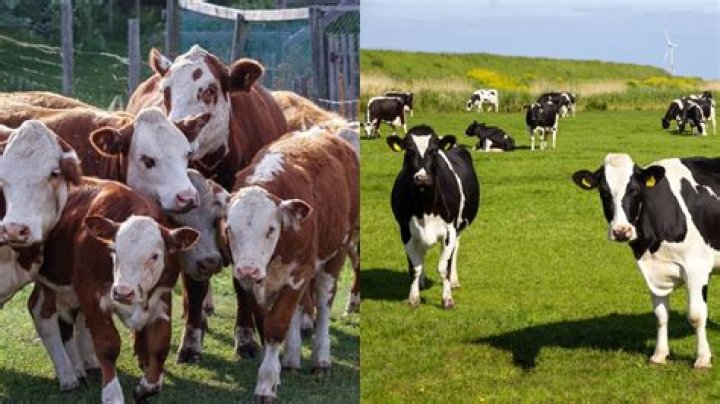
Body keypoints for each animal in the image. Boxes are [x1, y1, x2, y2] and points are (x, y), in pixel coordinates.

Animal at [0, 120, 199, 401]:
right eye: (114, 250)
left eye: (155, 256)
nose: (124, 292)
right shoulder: (92, 295)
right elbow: (107, 345)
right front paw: (112, 393)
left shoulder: (163, 295)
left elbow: (160, 344)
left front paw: (148, 385)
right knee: (46, 314)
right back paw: (71, 373)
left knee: (46, 312)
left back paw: (73, 369)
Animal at [225, 127, 358, 402]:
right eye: (230, 228)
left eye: (271, 229)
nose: (247, 269)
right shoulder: (253, 284)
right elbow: (265, 323)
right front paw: (276, 370)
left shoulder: (299, 273)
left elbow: (276, 326)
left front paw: (266, 383)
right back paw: (291, 358)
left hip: (335, 254)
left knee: (323, 303)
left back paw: (321, 359)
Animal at [386, 125, 480, 308]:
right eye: (409, 149)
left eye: (434, 150)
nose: (422, 178)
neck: (425, 207)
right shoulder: (405, 231)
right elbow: (414, 268)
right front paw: (414, 298)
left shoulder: (450, 231)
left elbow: (444, 267)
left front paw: (447, 299)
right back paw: (422, 283)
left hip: (458, 228)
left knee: (454, 252)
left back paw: (454, 281)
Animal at [572, 152, 720, 369]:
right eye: (604, 192)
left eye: (634, 190)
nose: (621, 231)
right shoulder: (653, 269)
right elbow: (660, 315)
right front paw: (659, 355)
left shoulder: (697, 267)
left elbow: (696, 315)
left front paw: (702, 359)